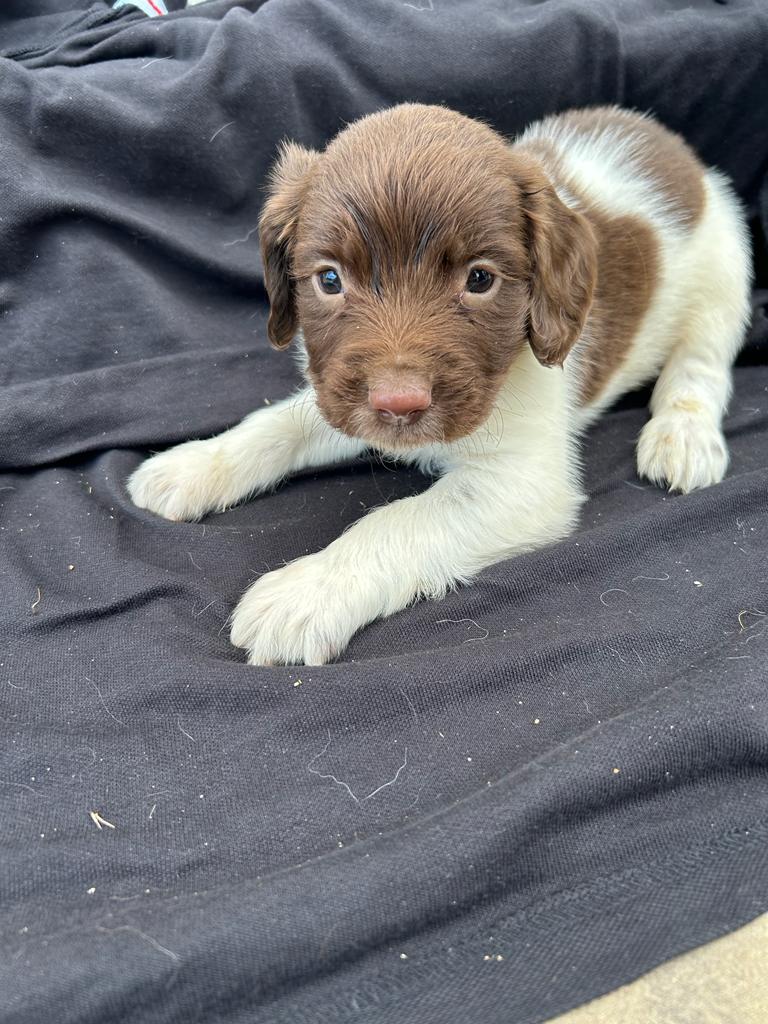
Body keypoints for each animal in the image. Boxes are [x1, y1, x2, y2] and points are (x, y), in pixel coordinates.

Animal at [126, 101, 753, 663]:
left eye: (480, 280)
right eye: (329, 279)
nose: (399, 403)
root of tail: (676, 153)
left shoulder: (522, 482)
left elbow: (396, 521)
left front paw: (307, 591)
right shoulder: (342, 393)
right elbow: (277, 424)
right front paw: (195, 464)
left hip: (725, 274)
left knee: (701, 365)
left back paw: (683, 435)